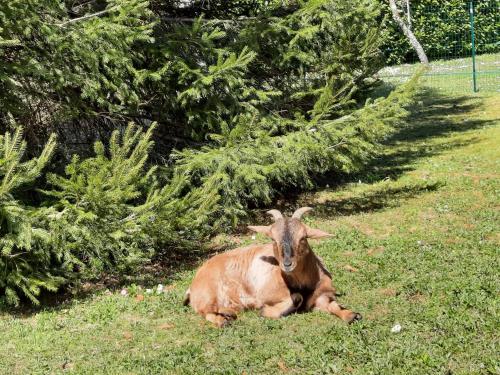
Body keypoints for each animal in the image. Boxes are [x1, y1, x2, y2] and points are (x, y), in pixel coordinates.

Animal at [182, 207, 362, 328]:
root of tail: (193, 285)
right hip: (208, 294)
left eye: (303, 238)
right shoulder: (266, 293)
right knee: (205, 312)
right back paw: (223, 320)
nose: (287, 264)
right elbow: (297, 298)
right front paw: (265, 311)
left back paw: (229, 313)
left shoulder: (321, 295)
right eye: (273, 239)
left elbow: (333, 305)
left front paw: (352, 315)